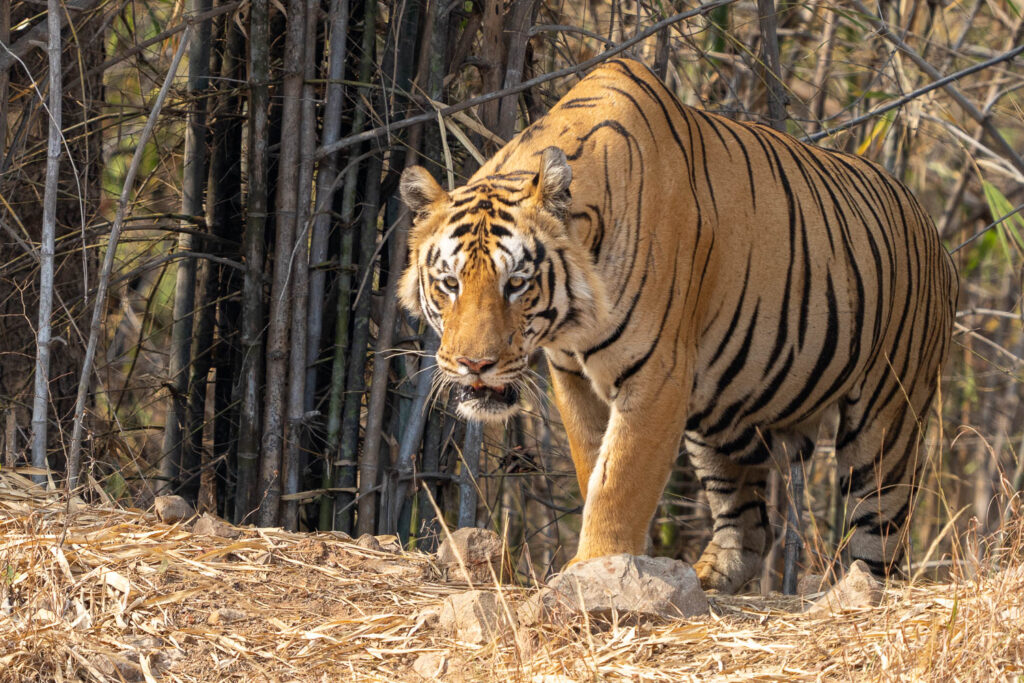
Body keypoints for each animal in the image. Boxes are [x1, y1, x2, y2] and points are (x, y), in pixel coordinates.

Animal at [395, 58, 954, 593]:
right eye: (449, 283)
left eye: (516, 283)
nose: (474, 364)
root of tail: (928, 222)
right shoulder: (571, 375)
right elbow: (591, 464)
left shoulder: (656, 374)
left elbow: (620, 480)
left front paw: (594, 569)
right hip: (723, 419)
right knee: (749, 523)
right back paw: (709, 576)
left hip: (887, 417)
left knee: (879, 530)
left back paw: (864, 586)